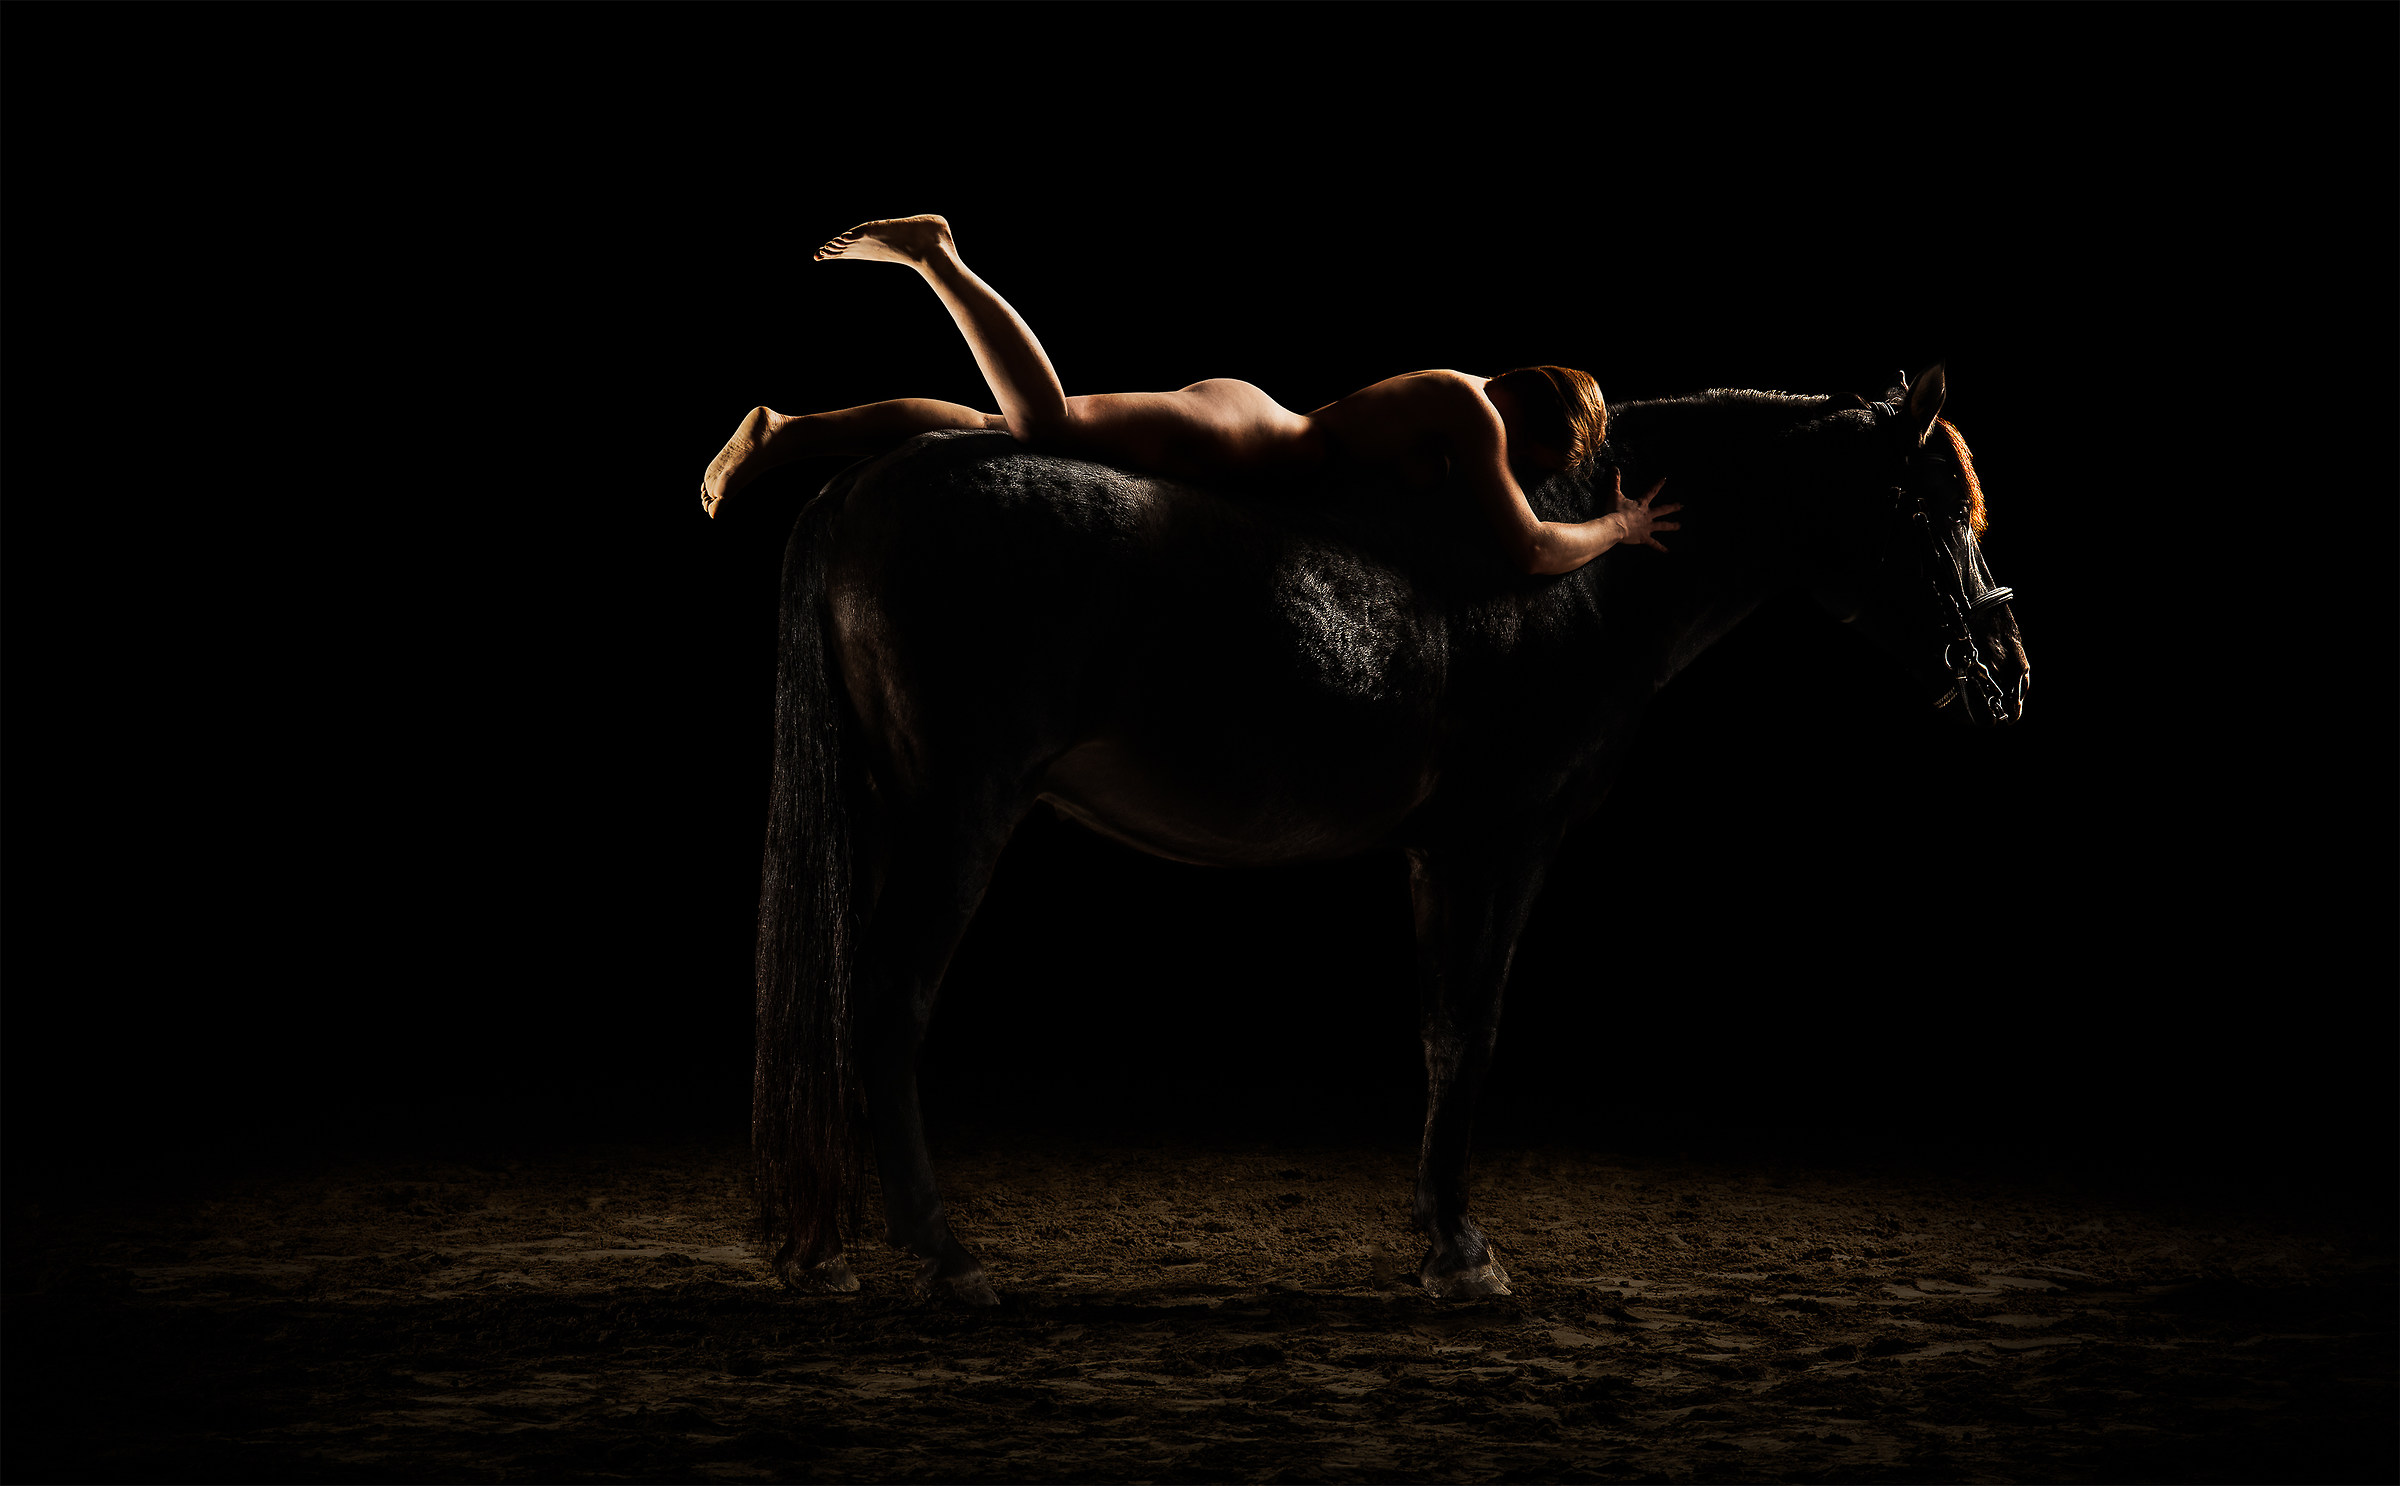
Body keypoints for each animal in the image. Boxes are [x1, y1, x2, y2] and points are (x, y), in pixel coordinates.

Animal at [749, 365, 2028, 1305]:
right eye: (1929, 507)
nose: (2008, 673)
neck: (1560, 571)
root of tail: (858, 492)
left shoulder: (1434, 853)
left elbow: (1436, 1033)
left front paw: (1440, 1239)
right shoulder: (1495, 843)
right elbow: (1469, 1031)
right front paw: (1463, 1256)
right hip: (956, 812)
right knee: (888, 1007)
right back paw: (948, 1259)